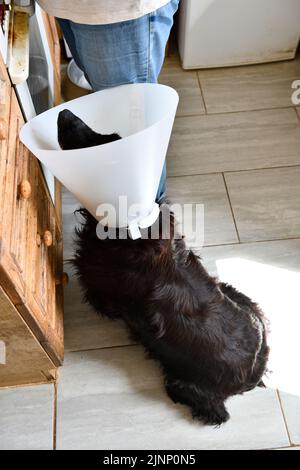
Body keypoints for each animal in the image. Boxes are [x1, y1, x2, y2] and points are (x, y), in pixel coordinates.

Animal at [58, 109, 270, 426]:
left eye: (100, 143)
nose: (64, 112)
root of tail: (254, 375)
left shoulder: (99, 289)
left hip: (184, 387)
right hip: (239, 295)